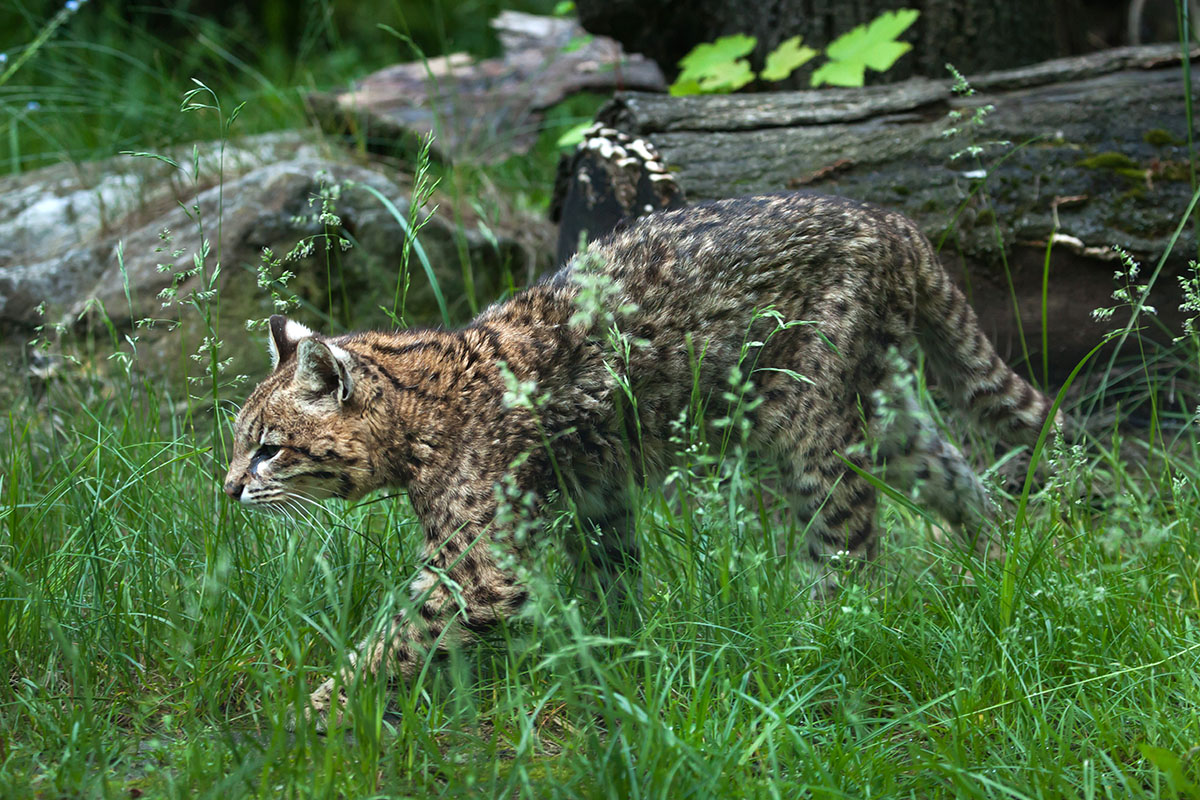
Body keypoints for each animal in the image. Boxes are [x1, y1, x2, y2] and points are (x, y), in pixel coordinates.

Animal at [225, 190, 1060, 724]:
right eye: (239, 442)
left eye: (268, 449)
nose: (228, 490)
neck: (420, 412)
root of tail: (893, 222)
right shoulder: (597, 505)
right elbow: (611, 589)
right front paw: (614, 663)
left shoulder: (478, 566)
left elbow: (394, 638)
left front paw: (312, 716)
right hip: (885, 419)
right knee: (963, 479)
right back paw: (997, 569)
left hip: (811, 432)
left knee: (850, 552)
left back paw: (819, 645)